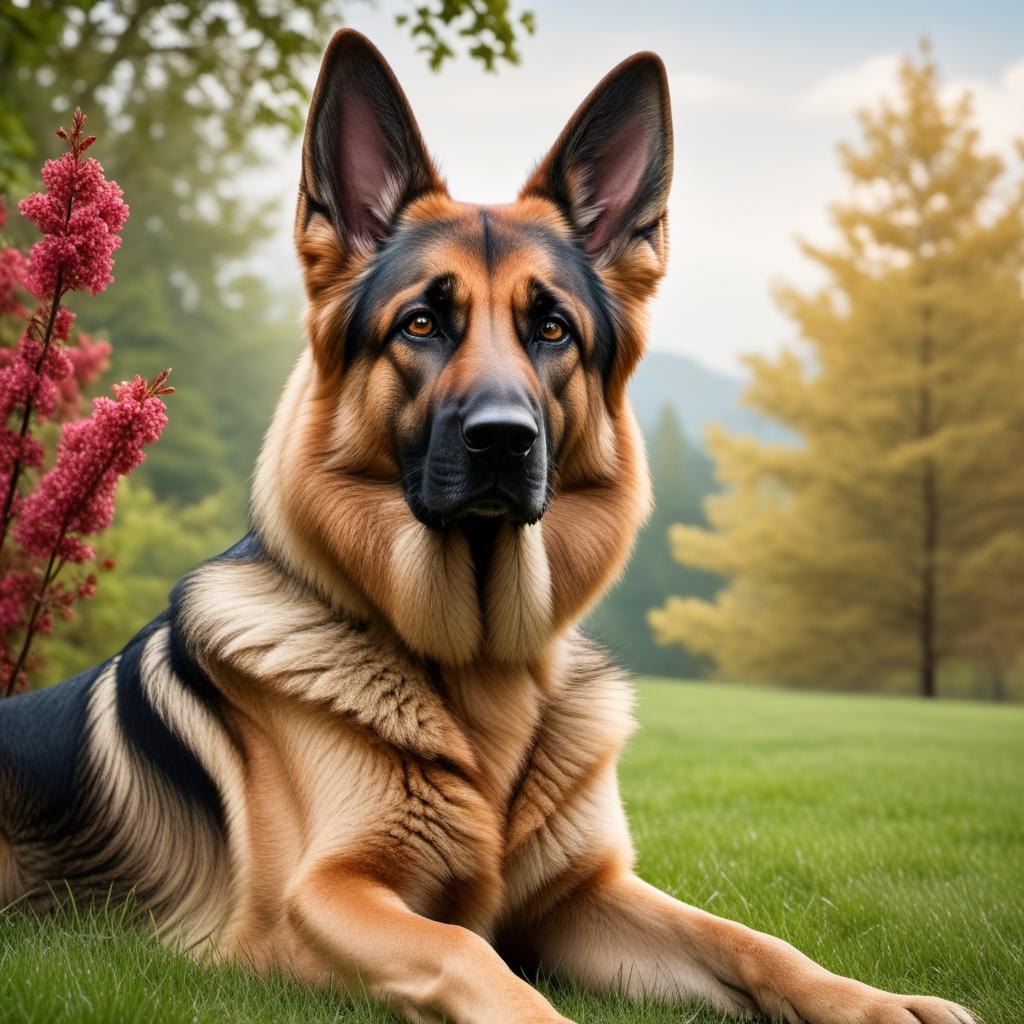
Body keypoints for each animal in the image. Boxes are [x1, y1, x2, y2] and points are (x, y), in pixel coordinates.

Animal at [0, 29, 970, 1024]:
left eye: (553, 329)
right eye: (423, 324)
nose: (505, 440)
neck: (481, 672)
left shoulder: (584, 897)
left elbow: (747, 939)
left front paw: (876, 1002)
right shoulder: (314, 903)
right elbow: (467, 952)